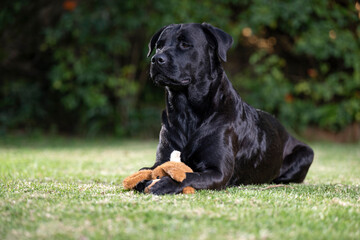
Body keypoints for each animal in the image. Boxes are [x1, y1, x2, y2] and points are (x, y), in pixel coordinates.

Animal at [136, 23, 314, 195]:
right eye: (159, 46)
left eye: (185, 44)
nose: (156, 59)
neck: (187, 112)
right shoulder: (162, 159)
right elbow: (147, 169)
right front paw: (143, 178)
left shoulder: (218, 172)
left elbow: (188, 175)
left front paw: (163, 184)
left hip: (306, 153)